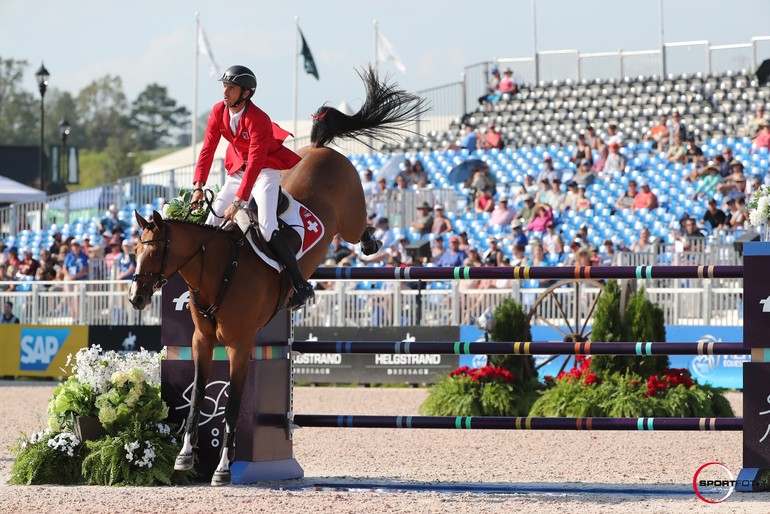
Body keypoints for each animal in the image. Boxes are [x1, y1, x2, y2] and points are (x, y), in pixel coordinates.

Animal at [126, 68, 426, 484]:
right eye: (135, 251)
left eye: (155, 251)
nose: (136, 298)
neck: (218, 270)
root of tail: (318, 148)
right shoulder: (201, 342)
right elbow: (197, 398)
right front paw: (185, 457)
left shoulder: (240, 346)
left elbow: (231, 406)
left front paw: (223, 468)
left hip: (349, 219)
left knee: (360, 229)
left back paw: (370, 244)